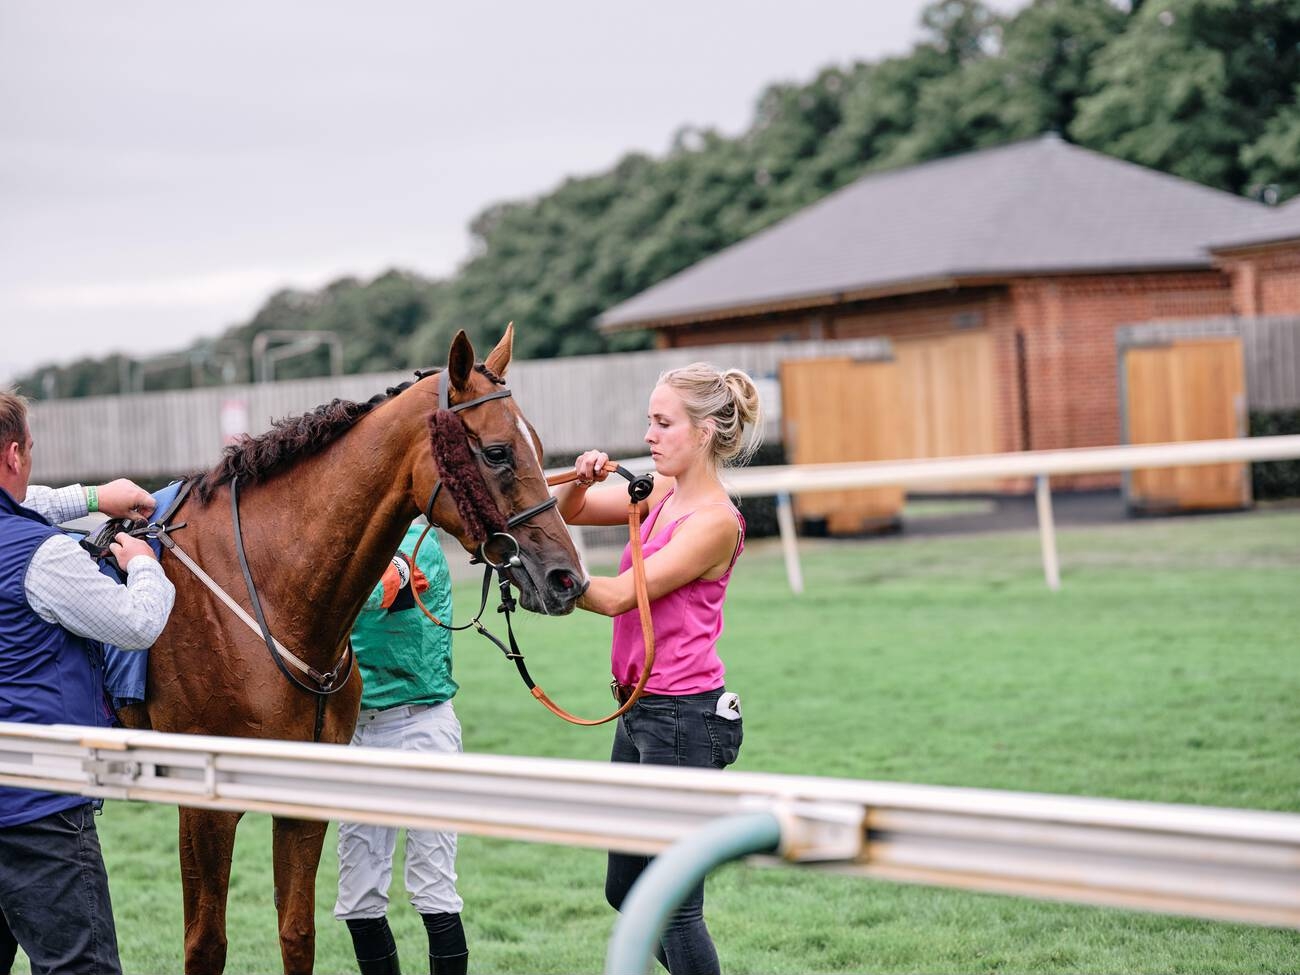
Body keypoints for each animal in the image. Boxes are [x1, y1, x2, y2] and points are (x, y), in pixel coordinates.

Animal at [119, 325, 587, 972]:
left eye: (540, 447)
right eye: (496, 452)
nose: (567, 578)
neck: (260, 592)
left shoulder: (302, 791)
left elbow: (297, 932)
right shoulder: (202, 802)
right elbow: (206, 943)